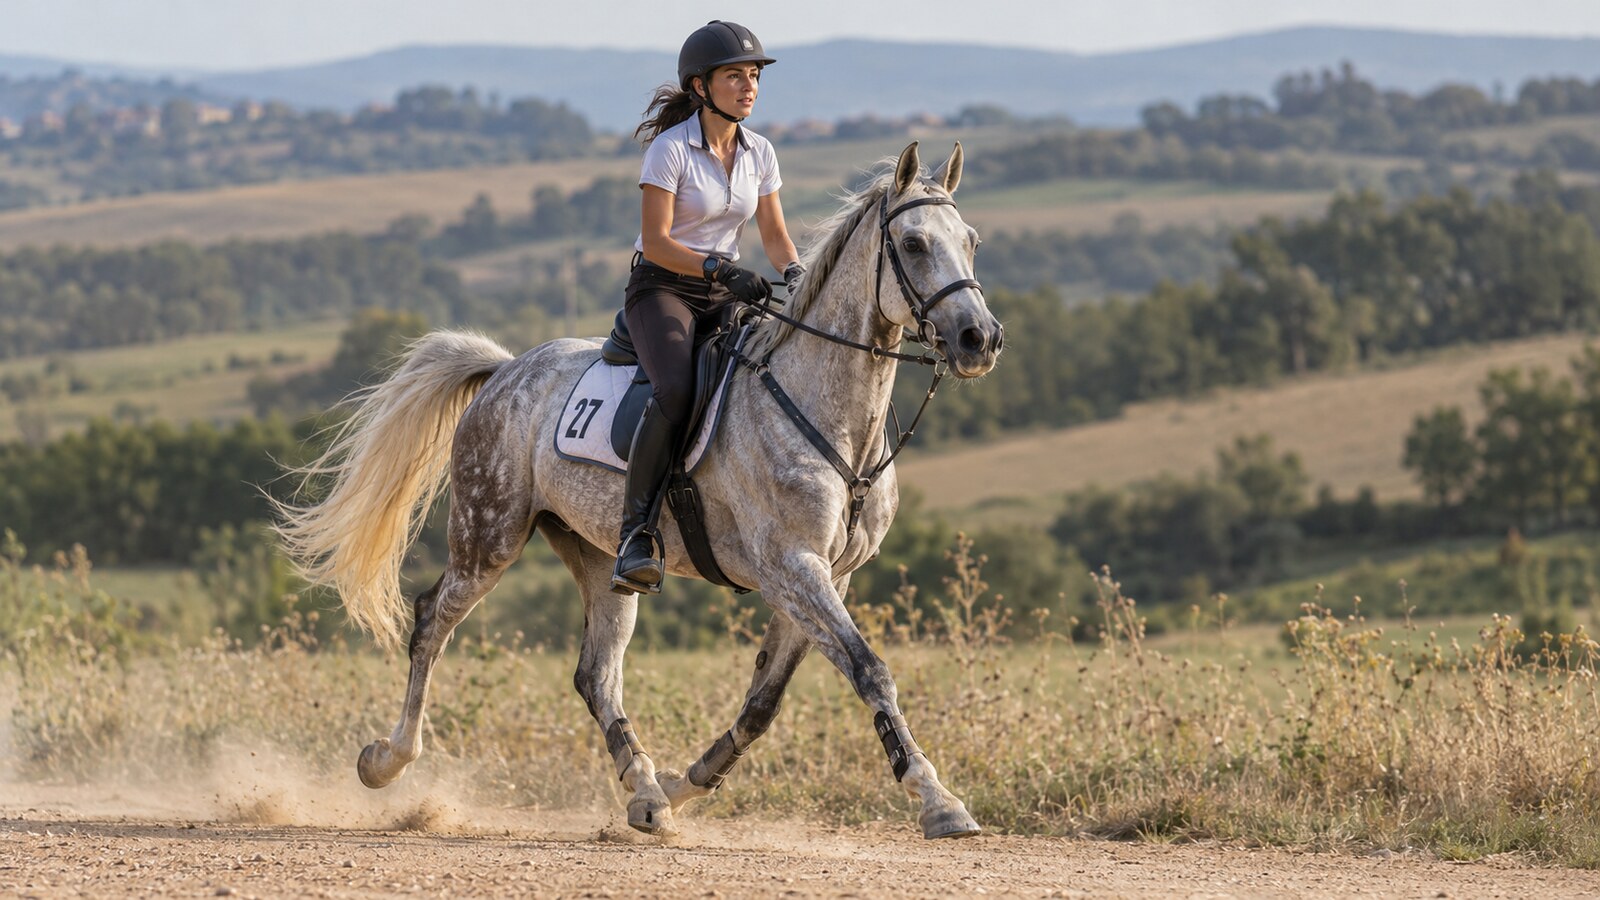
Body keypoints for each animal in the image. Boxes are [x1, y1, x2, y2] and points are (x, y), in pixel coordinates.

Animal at [273, 141, 1004, 839]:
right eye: (913, 244)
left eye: (970, 240)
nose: (980, 338)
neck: (830, 414)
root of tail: (505, 370)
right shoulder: (793, 568)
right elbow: (869, 670)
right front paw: (940, 803)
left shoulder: (830, 574)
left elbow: (765, 701)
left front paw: (687, 783)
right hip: (489, 536)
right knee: (431, 621)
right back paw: (386, 760)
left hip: (600, 556)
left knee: (596, 673)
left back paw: (648, 795)